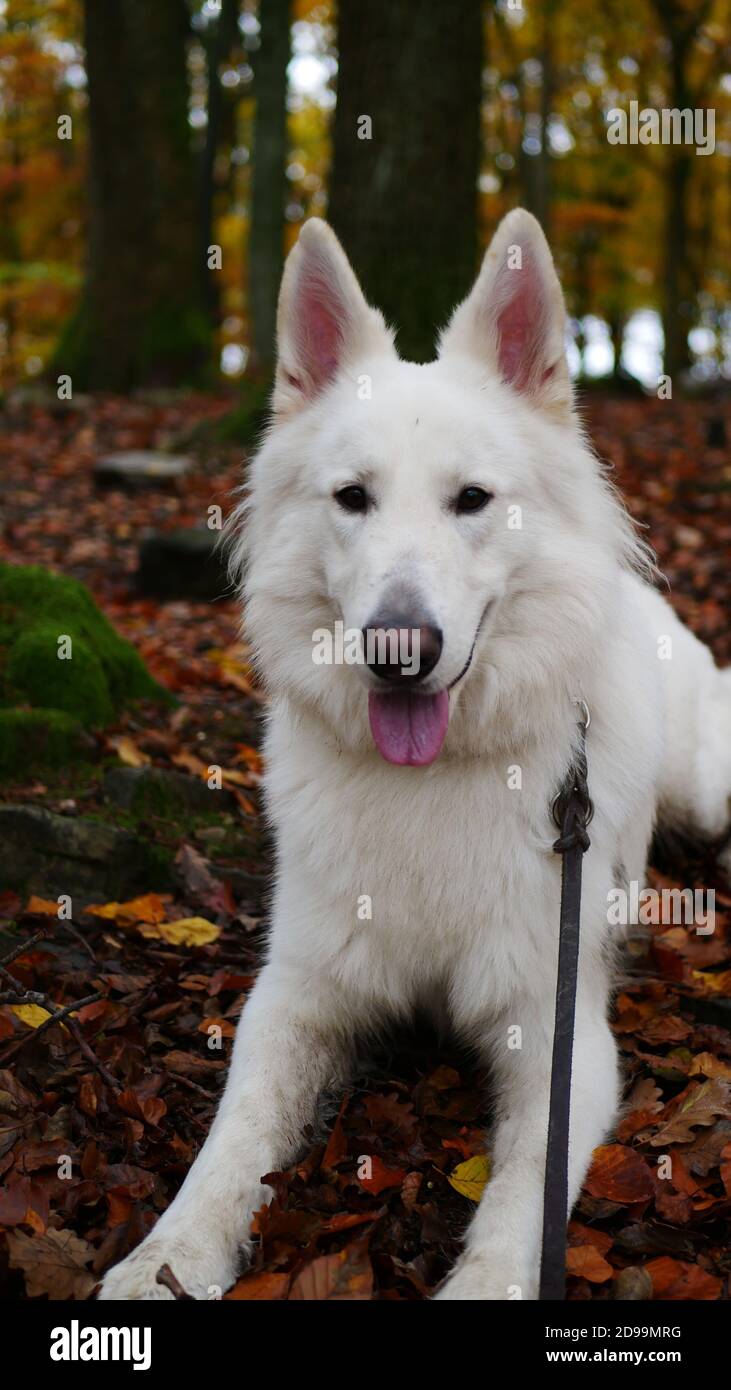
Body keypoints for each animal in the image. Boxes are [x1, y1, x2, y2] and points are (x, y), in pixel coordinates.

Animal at [98, 208, 731, 1301]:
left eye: (471, 499)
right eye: (351, 497)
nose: (397, 650)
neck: (431, 778)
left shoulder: (558, 1034)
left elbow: (521, 1202)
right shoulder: (295, 993)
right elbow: (231, 1141)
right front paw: (167, 1258)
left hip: (704, 787)